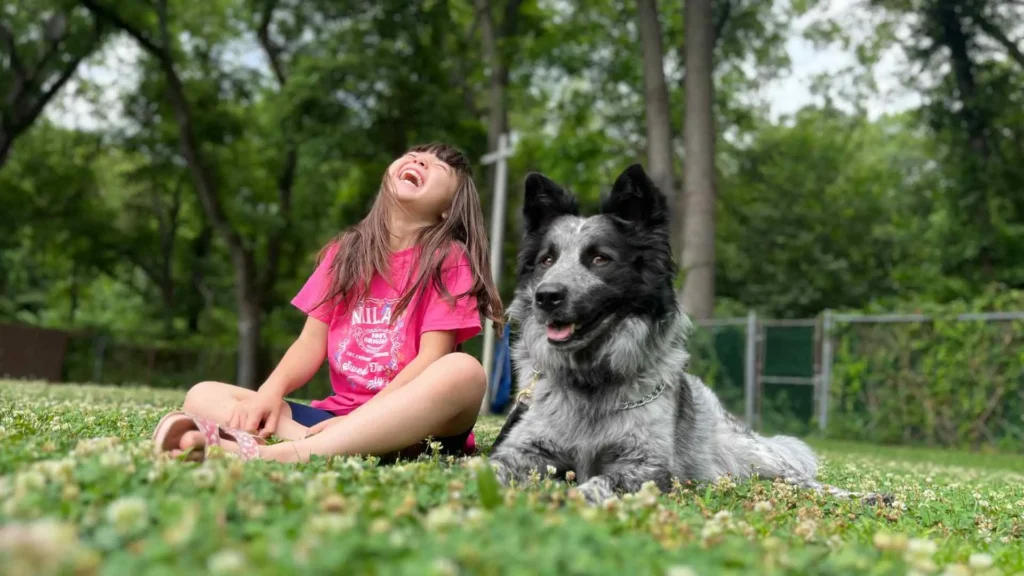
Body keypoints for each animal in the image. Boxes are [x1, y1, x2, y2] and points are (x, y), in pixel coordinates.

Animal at [487, 161, 880, 502]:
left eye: (600, 259)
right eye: (547, 260)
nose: (546, 297)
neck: (591, 382)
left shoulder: (646, 467)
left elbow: (597, 484)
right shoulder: (525, 449)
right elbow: (488, 467)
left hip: (756, 458)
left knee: (802, 479)